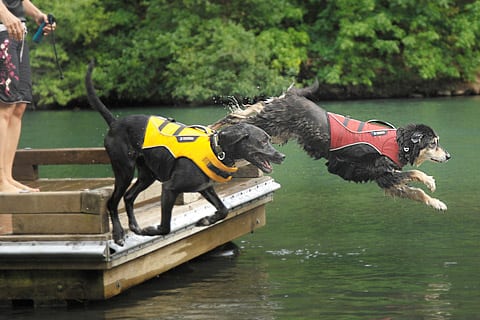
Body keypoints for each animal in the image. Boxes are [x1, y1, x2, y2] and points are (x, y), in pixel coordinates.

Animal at [212, 79, 452, 210]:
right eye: (434, 143)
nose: (449, 156)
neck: (399, 144)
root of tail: (291, 95)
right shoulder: (382, 171)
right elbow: (415, 174)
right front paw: (430, 182)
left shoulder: (386, 180)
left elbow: (417, 193)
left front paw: (437, 203)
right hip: (269, 124)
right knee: (237, 118)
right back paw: (215, 128)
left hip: (277, 130)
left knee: (251, 109)